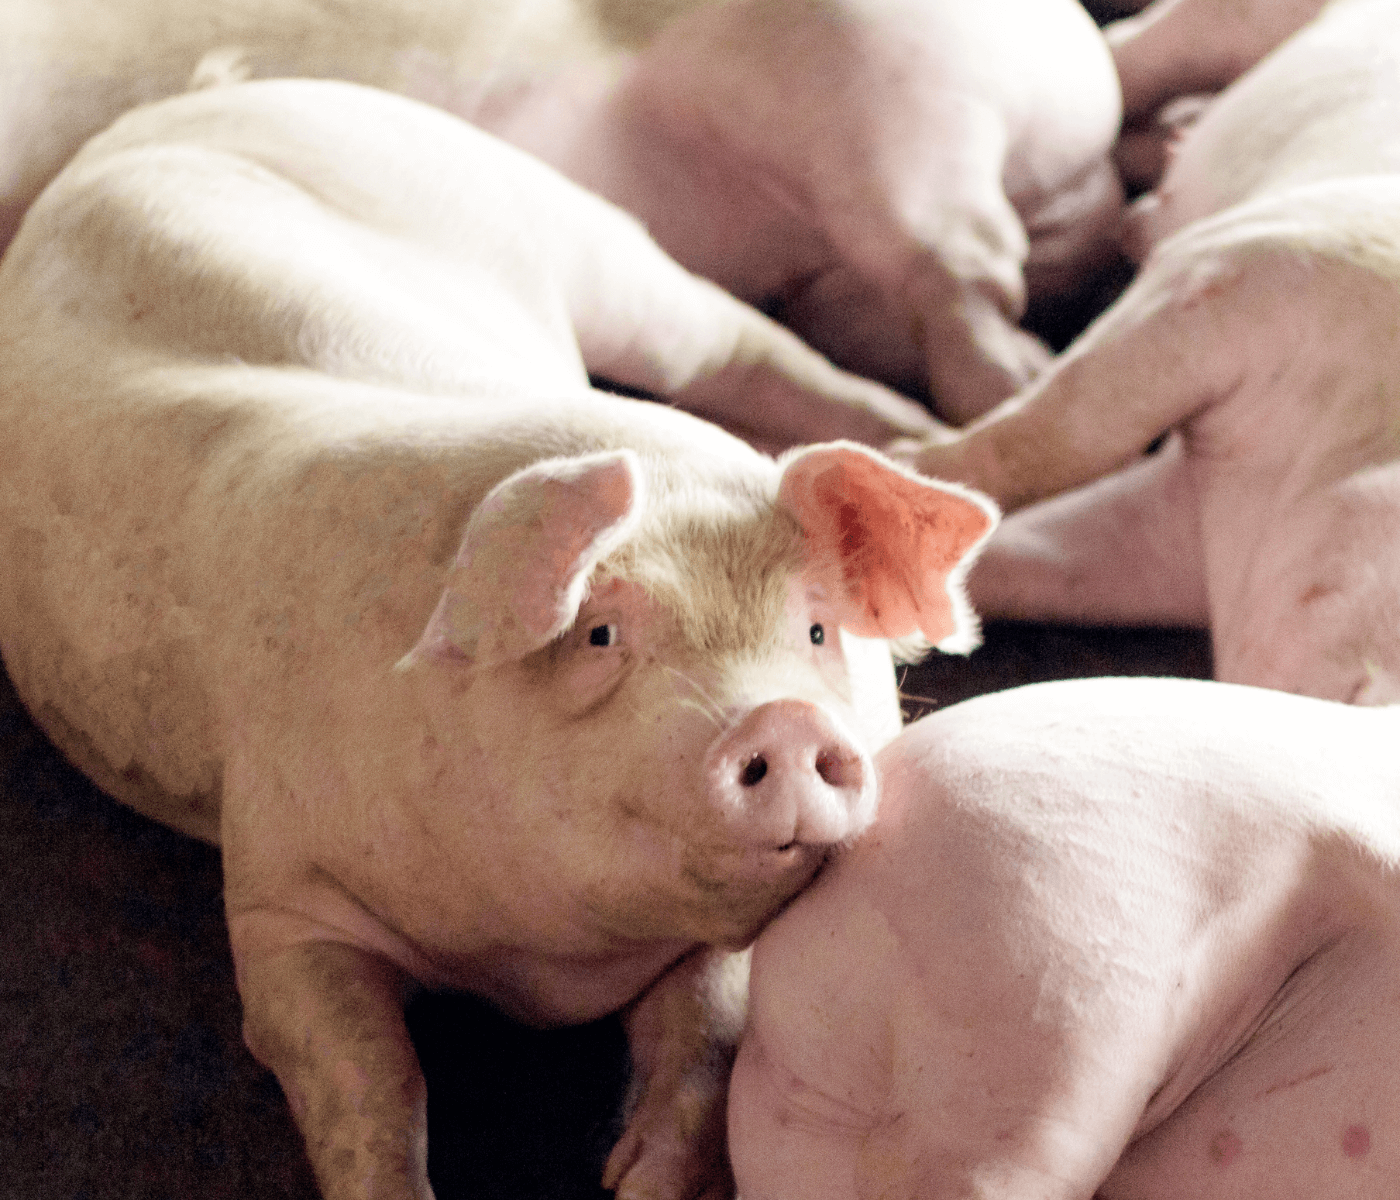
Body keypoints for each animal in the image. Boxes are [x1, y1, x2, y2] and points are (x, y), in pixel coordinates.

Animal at [0, 81, 996, 1198]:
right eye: (600, 634)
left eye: (817, 626)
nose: (777, 718)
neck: (542, 967)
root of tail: (229, 87)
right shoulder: (280, 890)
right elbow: (366, 1073)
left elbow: (713, 1025)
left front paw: (634, 1180)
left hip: (578, 236)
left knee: (734, 340)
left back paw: (939, 425)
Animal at [890, 0, 1400, 702]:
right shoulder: (1247, 264)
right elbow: (1071, 430)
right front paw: (896, 456)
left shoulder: (1174, 541)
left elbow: (1055, 566)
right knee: (1130, 52)